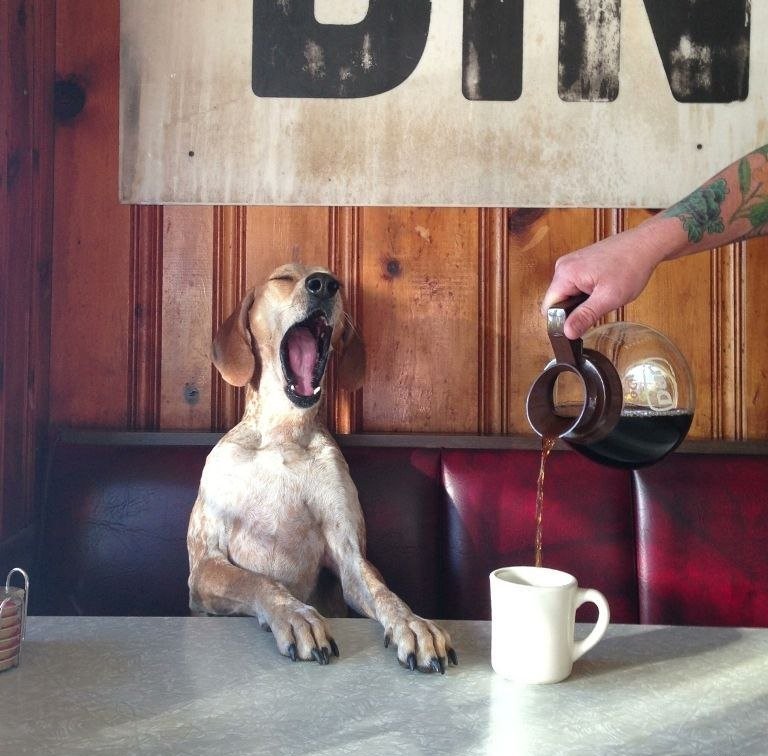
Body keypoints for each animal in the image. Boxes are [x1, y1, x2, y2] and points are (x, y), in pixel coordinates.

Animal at [187, 263, 457, 673]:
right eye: (282, 279)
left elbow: (383, 592)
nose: (324, 285)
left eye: (333, 279)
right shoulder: (205, 564)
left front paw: (412, 623)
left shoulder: (349, 553)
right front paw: (295, 614)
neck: (283, 435)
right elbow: (260, 582)